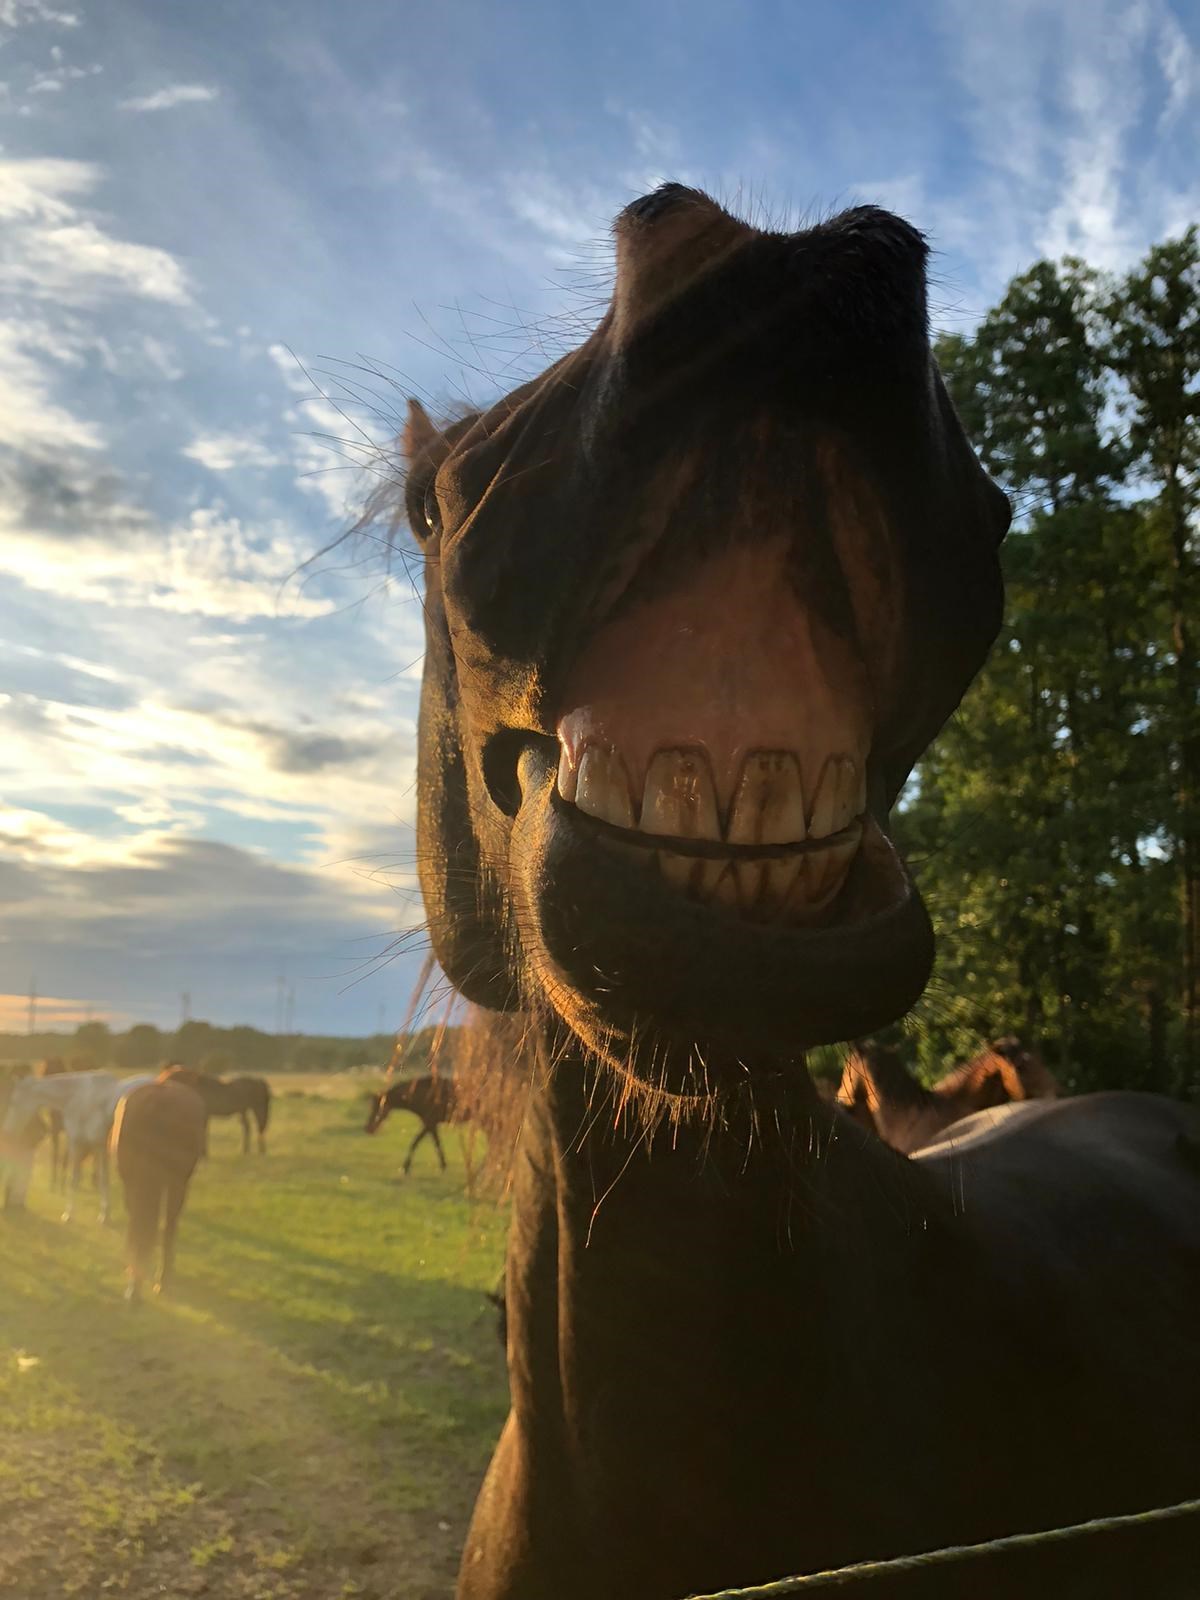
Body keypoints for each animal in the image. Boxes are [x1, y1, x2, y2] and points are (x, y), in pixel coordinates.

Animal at [1, 1070, 157, 1221]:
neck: (78, 1099)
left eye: (14, 1101)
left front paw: (69, 1214)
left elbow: (77, 1179)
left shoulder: (80, 1144)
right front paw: (105, 1214)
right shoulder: (98, 1147)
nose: (7, 1132)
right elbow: (101, 1179)